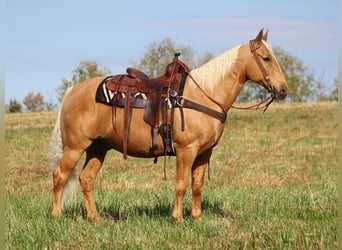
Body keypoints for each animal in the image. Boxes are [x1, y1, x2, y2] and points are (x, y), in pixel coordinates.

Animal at [48, 28, 288, 222]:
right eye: (266, 58)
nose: (283, 90)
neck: (202, 95)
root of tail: (73, 91)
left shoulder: (204, 153)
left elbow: (197, 185)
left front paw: (197, 218)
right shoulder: (186, 150)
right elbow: (181, 184)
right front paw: (177, 218)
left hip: (98, 147)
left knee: (86, 179)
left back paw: (94, 217)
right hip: (75, 147)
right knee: (60, 175)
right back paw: (57, 215)